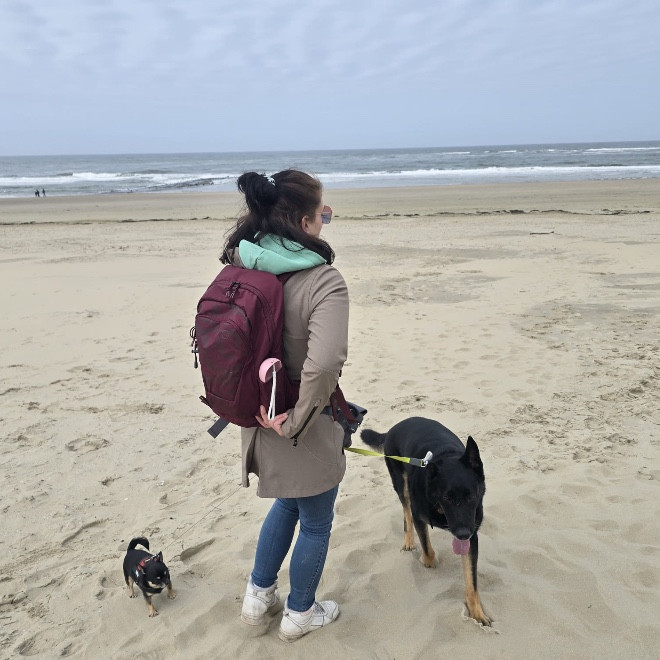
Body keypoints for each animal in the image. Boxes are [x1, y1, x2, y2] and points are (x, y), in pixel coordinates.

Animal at [361, 416, 491, 626]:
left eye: (471, 496)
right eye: (447, 498)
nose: (463, 534)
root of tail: (395, 426)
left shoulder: (472, 534)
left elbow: (472, 582)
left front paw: (477, 613)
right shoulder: (419, 517)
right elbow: (428, 550)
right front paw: (427, 561)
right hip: (401, 484)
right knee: (406, 512)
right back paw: (408, 541)